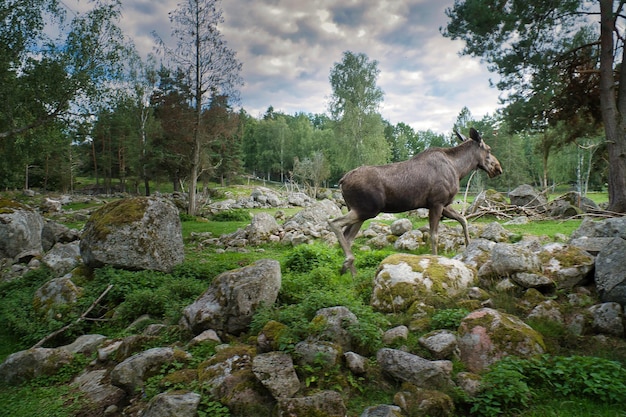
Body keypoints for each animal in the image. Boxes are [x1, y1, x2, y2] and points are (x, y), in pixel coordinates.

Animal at [330, 127, 500, 276]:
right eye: (489, 149)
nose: (498, 168)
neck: (459, 170)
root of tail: (342, 181)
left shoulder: (444, 204)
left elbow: (463, 219)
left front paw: (468, 245)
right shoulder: (437, 203)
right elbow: (434, 236)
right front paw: (436, 261)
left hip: (359, 211)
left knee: (348, 237)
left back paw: (351, 273)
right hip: (367, 210)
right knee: (334, 223)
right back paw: (348, 262)